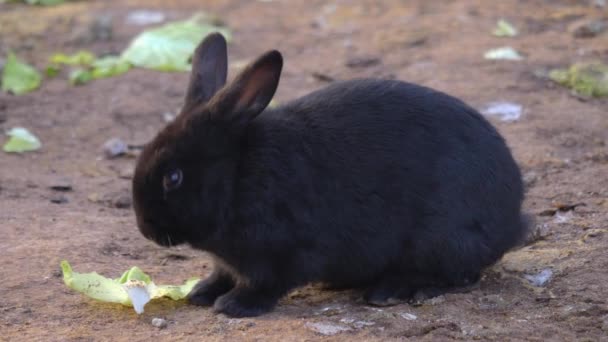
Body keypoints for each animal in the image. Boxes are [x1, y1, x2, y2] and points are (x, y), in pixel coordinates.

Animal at [132, 33, 528, 316]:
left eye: (173, 177)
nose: (146, 228)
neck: (237, 176)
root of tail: (512, 220)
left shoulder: (282, 252)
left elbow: (264, 282)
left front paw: (234, 306)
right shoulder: (229, 261)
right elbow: (221, 273)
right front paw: (200, 292)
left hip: (440, 239)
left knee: (459, 274)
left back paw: (390, 292)